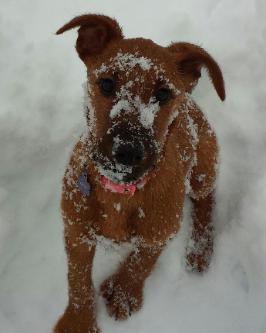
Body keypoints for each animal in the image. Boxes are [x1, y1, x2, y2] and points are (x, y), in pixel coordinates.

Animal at [53, 13, 224, 332]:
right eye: (107, 84)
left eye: (163, 93)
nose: (128, 152)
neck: (121, 193)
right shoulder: (76, 231)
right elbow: (78, 280)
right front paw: (78, 321)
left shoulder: (161, 232)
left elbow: (142, 262)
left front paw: (123, 293)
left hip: (205, 167)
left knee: (205, 202)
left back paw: (200, 250)